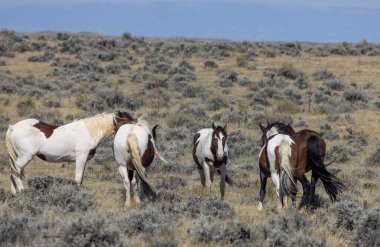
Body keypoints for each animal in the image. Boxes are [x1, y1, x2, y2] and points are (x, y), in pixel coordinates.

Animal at [5, 110, 134, 193]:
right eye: (126, 121)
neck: (89, 131)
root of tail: (13, 128)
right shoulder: (81, 157)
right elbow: (78, 178)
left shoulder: (83, 160)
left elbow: (81, 178)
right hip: (25, 157)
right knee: (15, 171)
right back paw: (22, 190)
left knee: (13, 171)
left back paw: (14, 192)